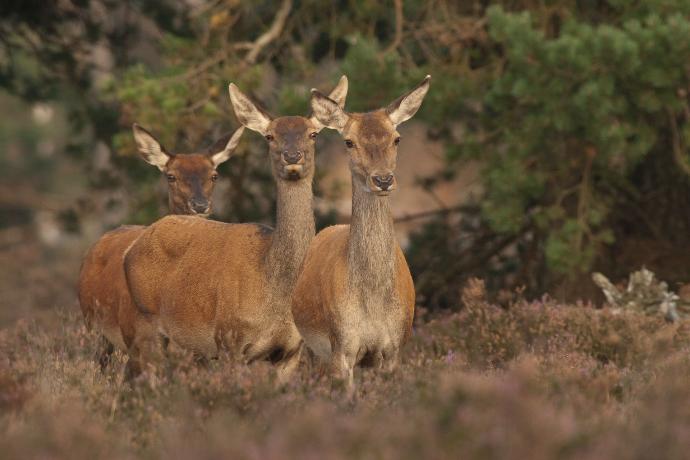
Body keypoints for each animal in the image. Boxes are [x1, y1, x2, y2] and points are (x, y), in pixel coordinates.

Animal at [121, 76, 346, 380]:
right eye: (269, 136)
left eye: (313, 134)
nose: (292, 156)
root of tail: (132, 248)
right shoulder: (229, 339)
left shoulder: (291, 351)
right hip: (145, 326)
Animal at [288, 73, 428, 390]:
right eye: (349, 142)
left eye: (397, 138)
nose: (383, 180)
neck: (373, 302)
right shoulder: (342, 346)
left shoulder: (394, 348)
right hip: (310, 343)